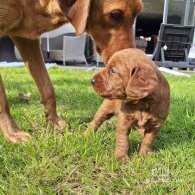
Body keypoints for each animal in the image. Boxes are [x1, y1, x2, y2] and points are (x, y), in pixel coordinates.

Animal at [0, 0, 143, 142]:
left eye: (137, 13)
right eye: (115, 14)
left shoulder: (27, 39)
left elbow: (47, 88)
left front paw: (54, 121)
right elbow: (2, 101)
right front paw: (13, 132)